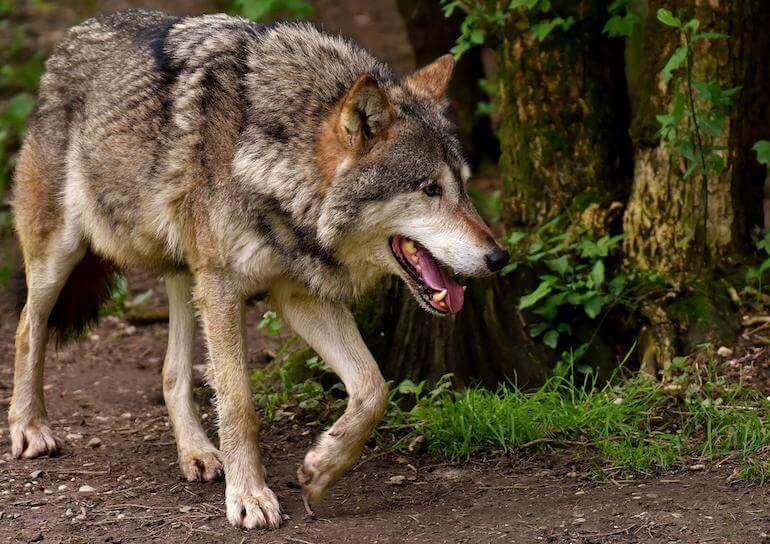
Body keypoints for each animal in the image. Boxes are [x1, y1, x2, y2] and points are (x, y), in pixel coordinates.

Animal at [8, 10, 509, 529]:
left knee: (172, 372)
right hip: (62, 256)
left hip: (186, 275)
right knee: (27, 328)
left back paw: (197, 453)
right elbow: (239, 403)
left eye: (465, 187)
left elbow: (374, 387)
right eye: (430, 189)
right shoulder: (225, 288)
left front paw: (321, 470)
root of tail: (73, 36)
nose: (499, 257)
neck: (272, 161)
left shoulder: (298, 295)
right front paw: (249, 496)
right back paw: (29, 428)